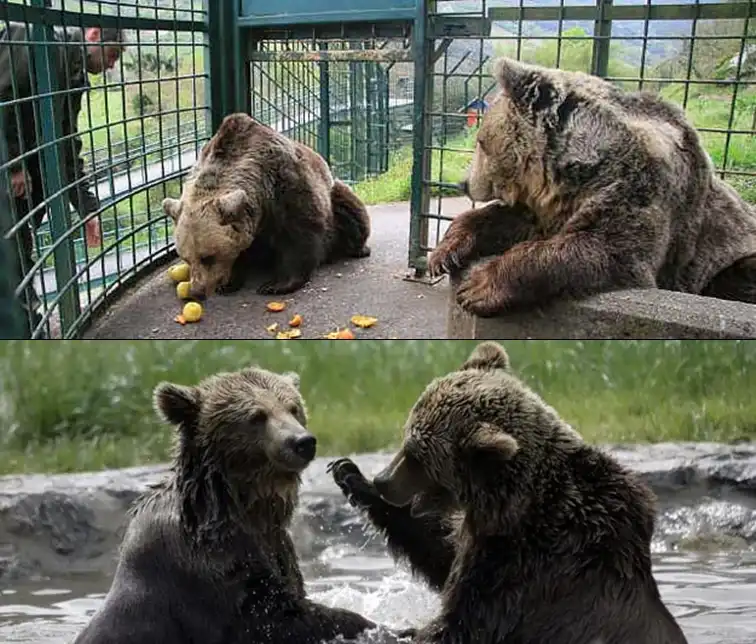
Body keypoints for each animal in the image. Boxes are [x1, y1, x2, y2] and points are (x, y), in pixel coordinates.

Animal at [73, 365, 412, 644]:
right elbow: (275, 617)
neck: (237, 506)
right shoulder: (209, 567)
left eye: (293, 408)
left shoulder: (275, 547)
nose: (302, 442)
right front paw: (391, 627)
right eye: (257, 416)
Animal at [162, 112, 371, 299]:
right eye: (186, 258)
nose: (197, 291)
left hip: (334, 194)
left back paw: (357, 248)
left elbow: (300, 233)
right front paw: (228, 282)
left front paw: (275, 285)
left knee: (350, 210)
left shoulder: (285, 184)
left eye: (208, 257)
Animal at [329, 342, 689, 644]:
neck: (511, 504)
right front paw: (350, 474)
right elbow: (440, 551)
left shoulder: (526, 568)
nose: (383, 480)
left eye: (418, 456)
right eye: (406, 438)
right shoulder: (483, 541)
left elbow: (461, 624)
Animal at [428, 56, 756, 317]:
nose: (463, 182)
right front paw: (444, 253)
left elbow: (605, 248)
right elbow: (501, 219)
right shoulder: (548, 207)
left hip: (726, 257)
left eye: (481, 142)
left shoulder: (639, 187)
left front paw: (478, 287)